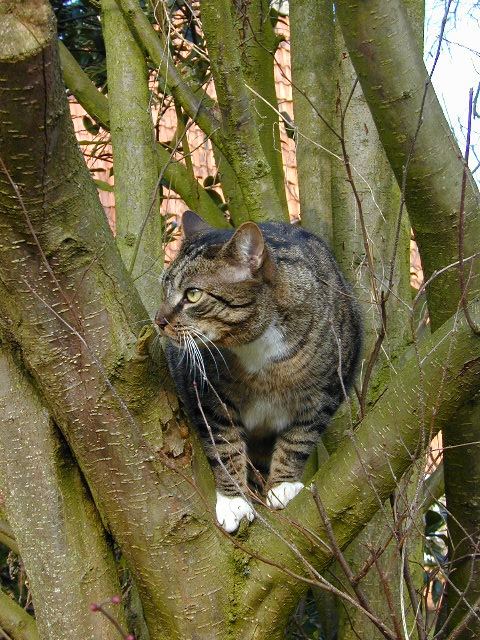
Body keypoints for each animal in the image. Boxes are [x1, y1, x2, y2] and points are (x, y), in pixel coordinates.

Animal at [156, 212, 362, 532]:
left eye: (192, 294)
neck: (260, 351)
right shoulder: (209, 394)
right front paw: (234, 501)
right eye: (165, 290)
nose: (158, 320)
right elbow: (225, 444)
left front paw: (283, 486)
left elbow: (300, 437)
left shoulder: (328, 390)